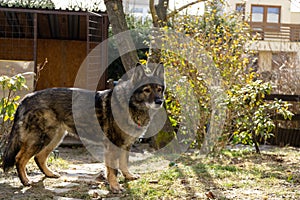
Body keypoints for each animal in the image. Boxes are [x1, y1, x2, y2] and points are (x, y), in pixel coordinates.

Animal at [1, 63, 165, 193]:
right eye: (146, 90)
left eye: (159, 89)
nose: (159, 101)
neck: (129, 104)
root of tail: (26, 97)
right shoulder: (113, 146)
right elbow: (113, 170)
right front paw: (115, 187)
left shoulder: (126, 145)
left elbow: (124, 163)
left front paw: (129, 176)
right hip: (40, 138)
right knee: (19, 158)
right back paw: (25, 181)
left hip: (55, 138)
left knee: (39, 157)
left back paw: (49, 174)